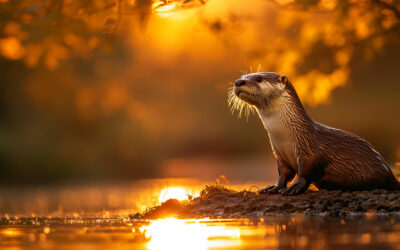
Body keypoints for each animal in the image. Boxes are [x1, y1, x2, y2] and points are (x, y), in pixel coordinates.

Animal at [228, 72, 400, 195]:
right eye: (242, 76)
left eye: (258, 78)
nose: (238, 82)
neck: (284, 136)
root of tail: (389, 171)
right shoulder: (280, 155)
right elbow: (283, 175)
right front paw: (273, 188)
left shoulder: (309, 152)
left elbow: (304, 174)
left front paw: (293, 188)